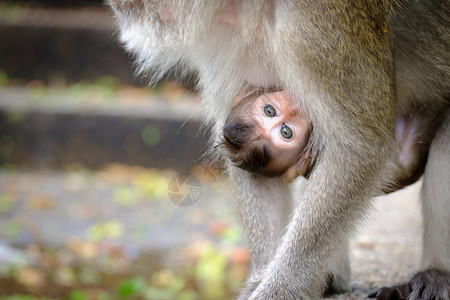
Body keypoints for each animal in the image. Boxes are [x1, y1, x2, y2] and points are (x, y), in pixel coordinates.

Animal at [110, 1, 450, 298]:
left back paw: (435, 274)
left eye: (272, 111)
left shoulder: (318, 29)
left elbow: (360, 148)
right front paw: (262, 279)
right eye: (282, 128)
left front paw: (279, 289)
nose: (292, 111)